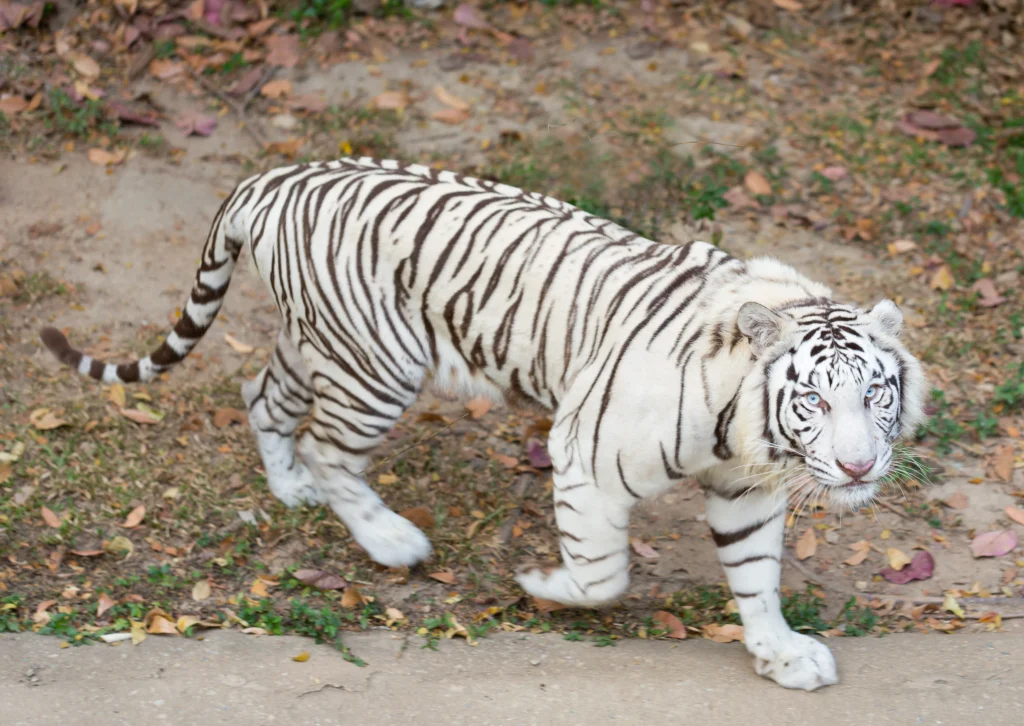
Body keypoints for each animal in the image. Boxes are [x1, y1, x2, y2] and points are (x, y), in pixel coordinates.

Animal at [40, 157, 925, 690]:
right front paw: (544, 586)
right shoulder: (586, 452)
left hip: (317, 343)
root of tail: (274, 175)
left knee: (265, 396)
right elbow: (603, 573)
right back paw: (390, 540)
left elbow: (755, 578)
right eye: (814, 401)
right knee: (330, 449)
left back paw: (289, 488)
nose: (857, 468)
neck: (747, 429)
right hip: (378, 364)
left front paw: (781, 654)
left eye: (876, 394)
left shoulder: (745, 489)